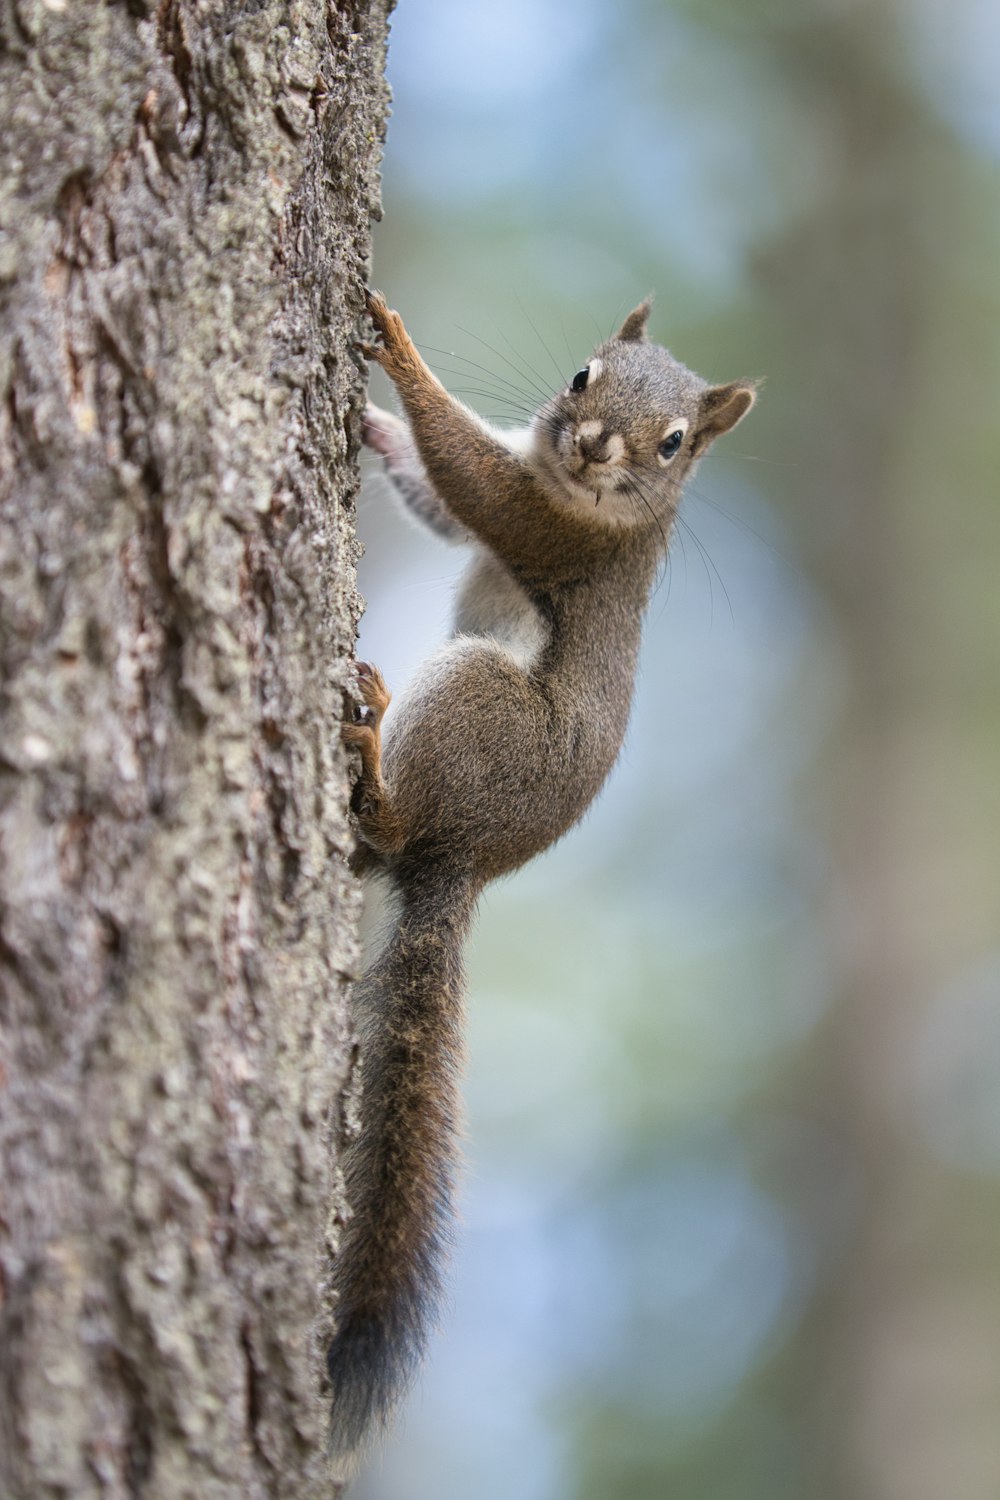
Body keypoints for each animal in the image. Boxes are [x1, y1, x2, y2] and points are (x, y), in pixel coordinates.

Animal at [329, 289, 758, 1476]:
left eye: (674, 444)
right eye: (580, 376)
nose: (595, 444)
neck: (587, 495)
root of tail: (467, 866)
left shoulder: (547, 526)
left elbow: (472, 481)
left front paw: (395, 350)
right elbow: (441, 501)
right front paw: (371, 422)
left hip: (474, 709)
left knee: (391, 825)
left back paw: (375, 759)